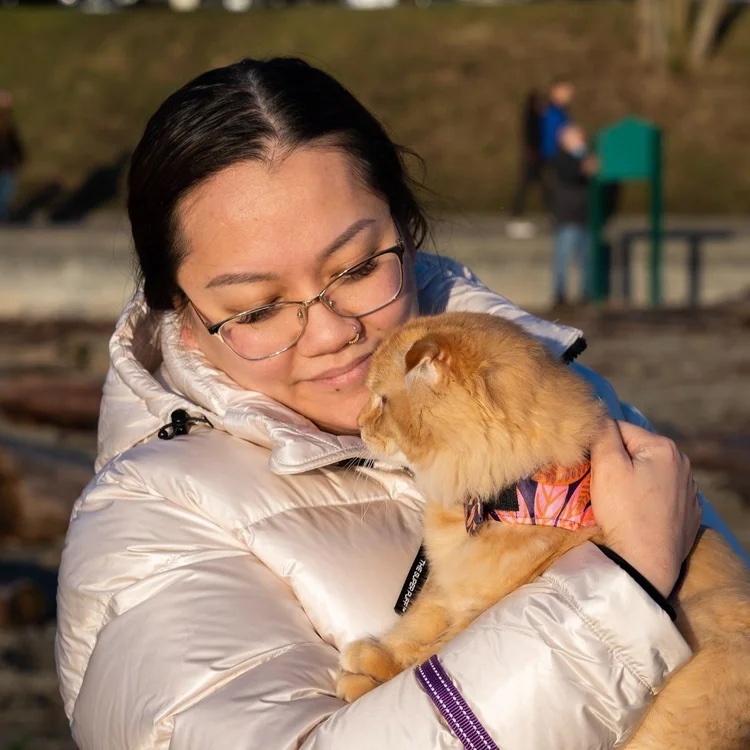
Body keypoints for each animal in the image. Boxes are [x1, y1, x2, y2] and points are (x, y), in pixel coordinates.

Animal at [337, 311, 750, 750]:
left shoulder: (482, 610)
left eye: (381, 401)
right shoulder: (448, 588)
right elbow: (413, 626)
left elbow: (426, 655)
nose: (359, 425)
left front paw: (364, 675)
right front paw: (373, 656)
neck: (506, 501)